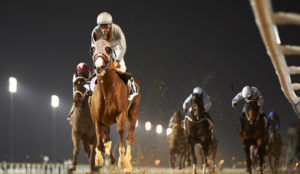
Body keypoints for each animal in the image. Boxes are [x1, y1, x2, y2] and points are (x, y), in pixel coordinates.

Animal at [89, 38, 141, 173]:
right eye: (93, 49)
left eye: (108, 49)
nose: (99, 66)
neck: (107, 91)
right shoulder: (97, 119)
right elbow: (100, 144)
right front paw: (102, 158)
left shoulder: (121, 114)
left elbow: (121, 131)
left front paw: (122, 161)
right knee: (104, 138)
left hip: (133, 112)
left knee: (130, 137)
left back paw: (128, 163)